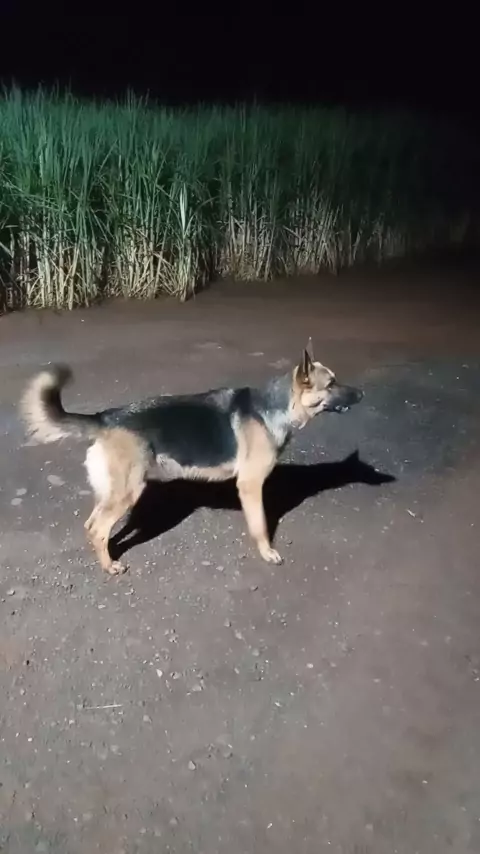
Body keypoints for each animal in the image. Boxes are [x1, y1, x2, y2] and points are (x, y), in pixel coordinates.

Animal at [19, 346, 363, 575]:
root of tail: (104, 417)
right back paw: (110, 567)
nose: (361, 395)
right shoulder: (250, 487)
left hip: (114, 492)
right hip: (128, 491)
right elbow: (261, 525)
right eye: (331, 383)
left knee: (92, 525)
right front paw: (267, 552)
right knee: (98, 529)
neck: (277, 407)